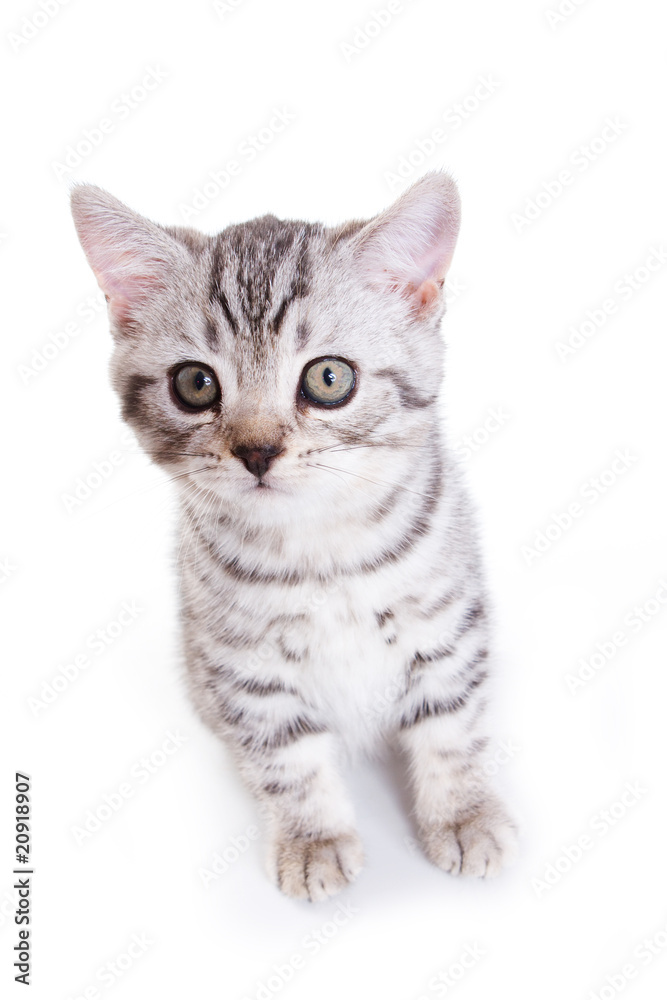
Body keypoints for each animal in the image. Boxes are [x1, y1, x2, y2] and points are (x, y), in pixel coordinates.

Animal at [73, 176, 520, 904]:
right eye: (195, 383)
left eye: (328, 378)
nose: (257, 451)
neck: (321, 550)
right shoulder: (242, 667)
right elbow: (286, 758)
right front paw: (313, 840)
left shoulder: (448, 627)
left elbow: (452, 728)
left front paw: (465, 814)